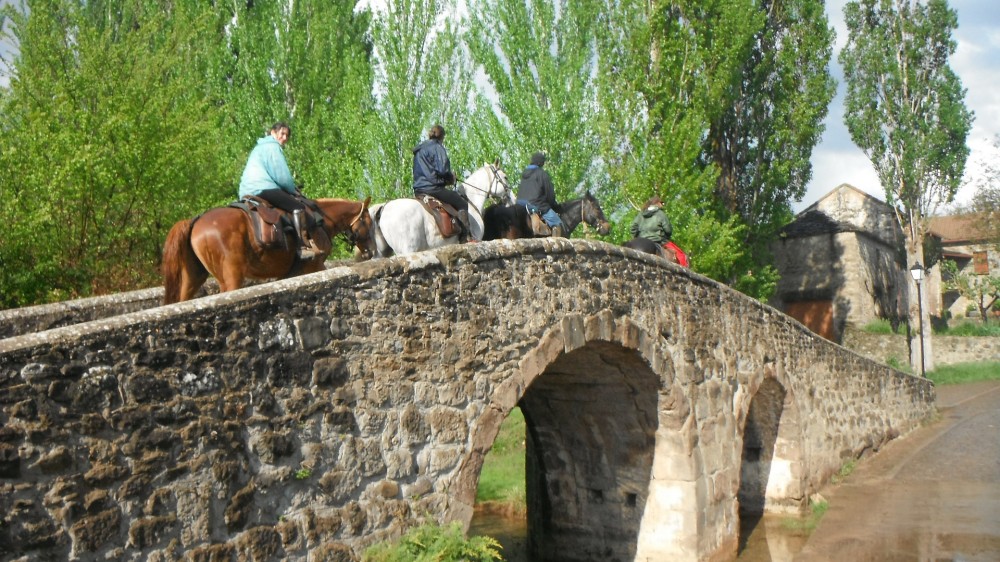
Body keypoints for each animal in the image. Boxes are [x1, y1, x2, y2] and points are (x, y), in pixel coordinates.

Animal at [162, 197, 376, 302]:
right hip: (232, 277)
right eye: (368, 221)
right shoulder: (314, 266)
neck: (321, 220)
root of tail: (195, 222)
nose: (371, 251)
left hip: (193, 278)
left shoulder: (291, 273)